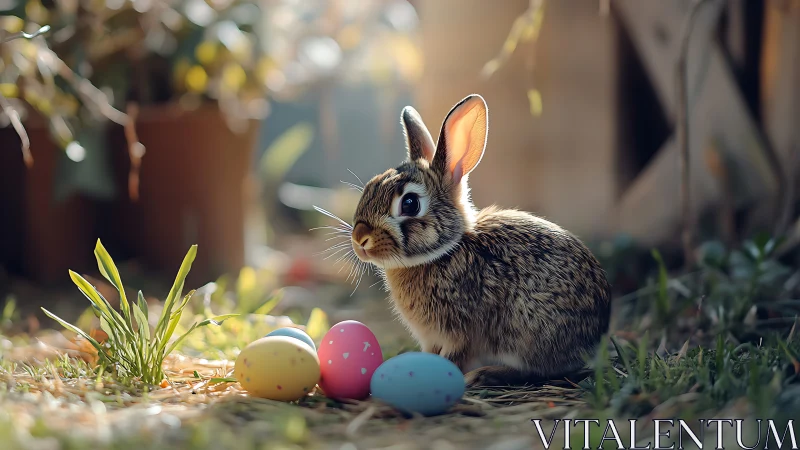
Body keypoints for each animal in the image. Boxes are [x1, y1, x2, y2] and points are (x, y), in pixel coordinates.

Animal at [344, 94, 612, 387]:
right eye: (370, 186)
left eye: (410, 203)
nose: (360, 239)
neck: (444, 253)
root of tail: (596, 336)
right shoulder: (432, 338)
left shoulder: (461, 334)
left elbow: (453, 357)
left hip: (528, 332)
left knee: (537, 371)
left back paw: (485, 374)